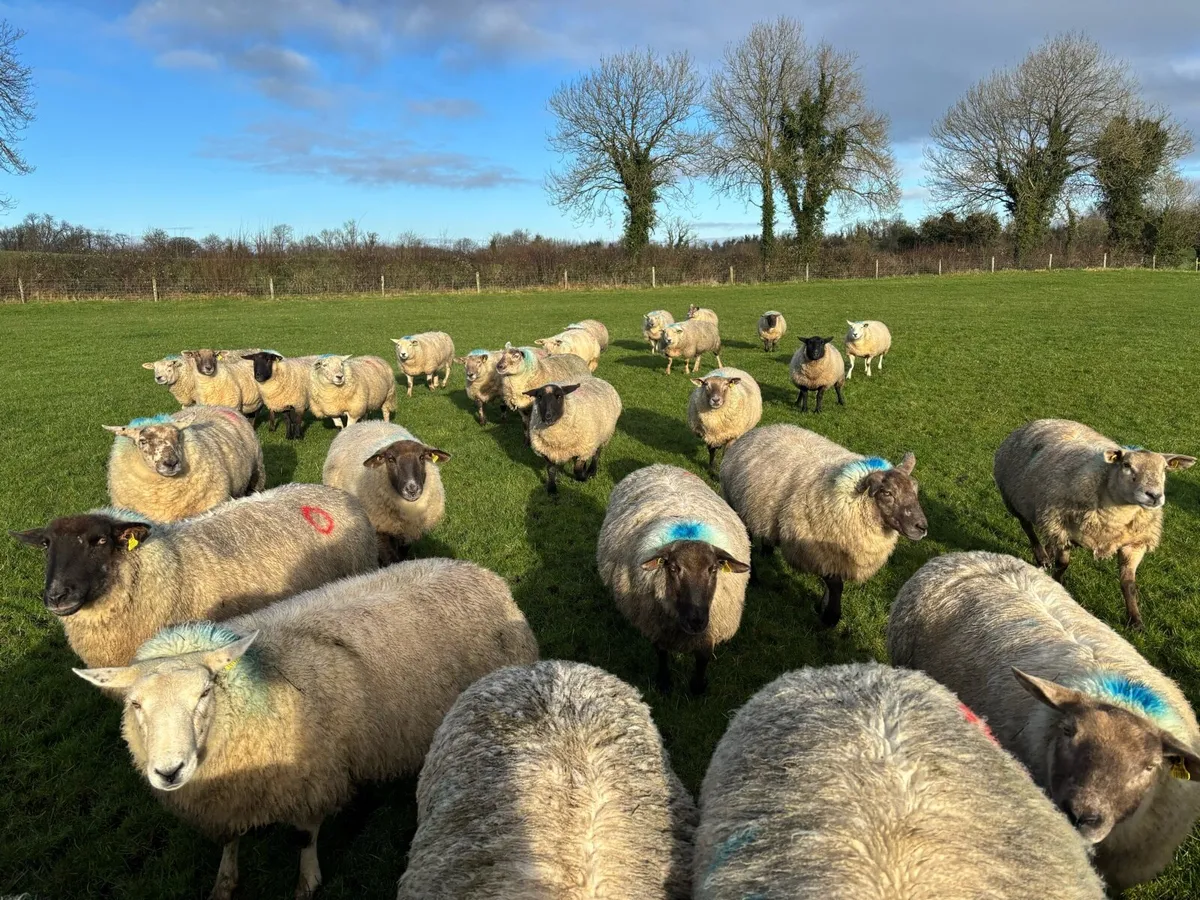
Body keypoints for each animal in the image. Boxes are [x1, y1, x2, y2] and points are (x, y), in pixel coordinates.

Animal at [73, 558, 538, 900]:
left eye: (204, 692)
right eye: (136, 704)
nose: (169, 772)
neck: (259, 684)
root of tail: (481, 572)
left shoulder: (312, 774)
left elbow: (303, 836)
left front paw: (307, 881)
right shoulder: (226, 794)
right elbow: (229, 839)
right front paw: (224, 881)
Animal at [322, 421, 450, 563]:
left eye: (422, 457)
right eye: (391, 459)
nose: (412, 489)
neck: (408, 508)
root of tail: (368, 422)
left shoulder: (408, 531)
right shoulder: (381, 530)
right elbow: (390, 558)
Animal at [597, 464, 750, 694]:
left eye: (713, 569)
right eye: (674, 568)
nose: (695, 620)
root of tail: (660, 465)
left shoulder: (710, 628)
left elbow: (703, 657)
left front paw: (697, 687)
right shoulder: (656, 624)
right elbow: (661, 653)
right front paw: (664, 683)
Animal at [720, 425, 926, 627]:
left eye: (915, 490)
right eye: (887, 493)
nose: (922, 527)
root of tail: (759, 430)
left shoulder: (838, 555)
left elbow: (833, 583)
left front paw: (822, 607)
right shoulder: (816, 550)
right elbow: (836, 585)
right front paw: (831, 617)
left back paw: (767, 549)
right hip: (736, 506)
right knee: (746, 543)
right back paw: (754, 578)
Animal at [993, 419, 1195, 628]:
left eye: (1164, 469)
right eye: (1126, 465)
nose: (1154, 496)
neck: (1116, 514)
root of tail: (1040, 421)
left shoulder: (1134, 544)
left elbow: (1129, 583)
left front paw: (1135, 620)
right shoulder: (1062, 527)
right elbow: (1062, 564)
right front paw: (1058, 584)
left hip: (1045, 515)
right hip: (1015, 500)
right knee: (1027, 528)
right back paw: (1042, 557)